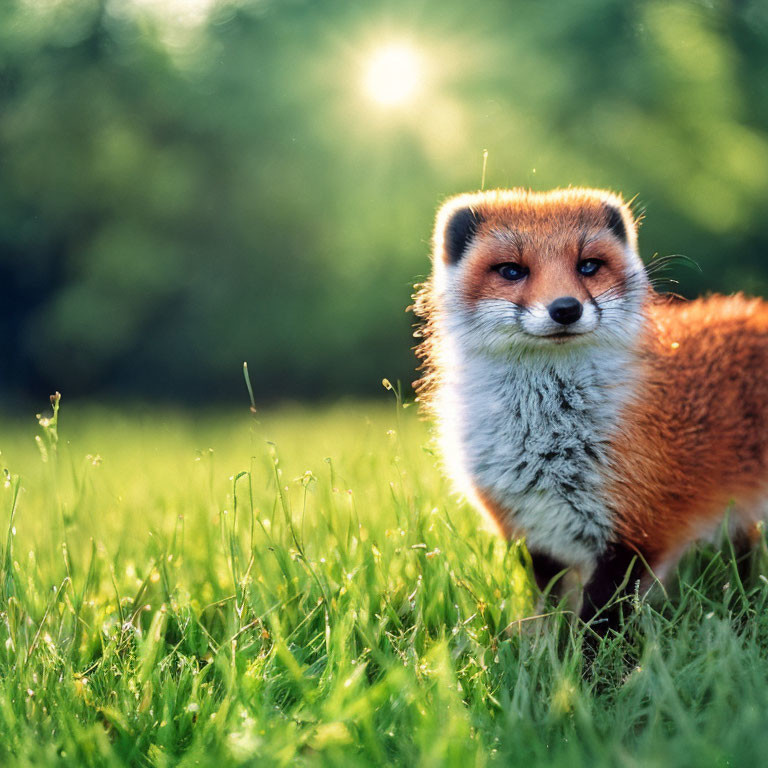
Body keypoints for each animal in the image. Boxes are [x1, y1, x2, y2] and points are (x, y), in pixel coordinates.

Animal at [414, 189, 768, 632]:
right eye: (512, 271)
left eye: (588, 266)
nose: (565, 308)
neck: (546, 445)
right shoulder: (534, 535)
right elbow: (550, 613)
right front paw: (541, 645)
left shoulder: (637, 532)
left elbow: (597, 622)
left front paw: (585, 653)